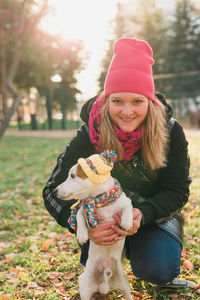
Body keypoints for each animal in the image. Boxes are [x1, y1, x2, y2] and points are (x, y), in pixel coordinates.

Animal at [54, 151, 133, 298]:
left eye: (72, 176)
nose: (55, 191)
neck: (100, 199)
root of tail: (105, 283)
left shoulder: (126, 202)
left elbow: (128, 208)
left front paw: (127, 222)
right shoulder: (82, 209)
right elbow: (79, 216)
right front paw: (82, 235)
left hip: (125, 285)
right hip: (85, 286)